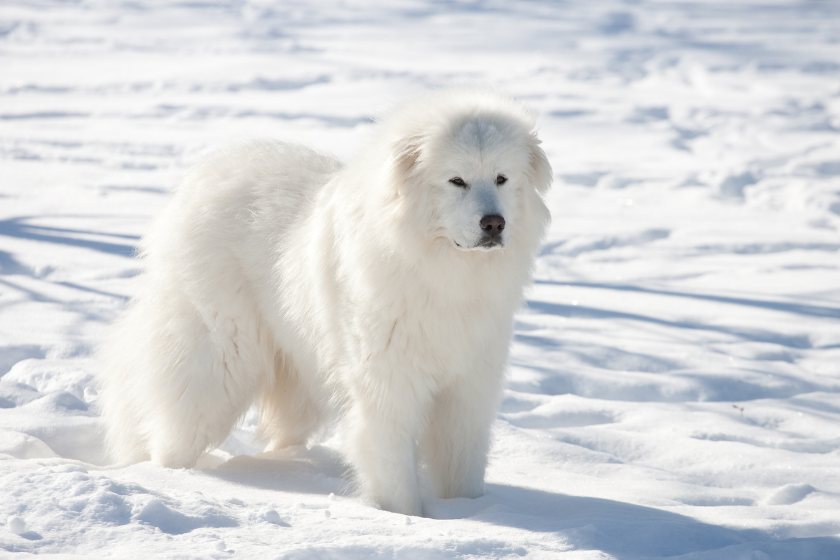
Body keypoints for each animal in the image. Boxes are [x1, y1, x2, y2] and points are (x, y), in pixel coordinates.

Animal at [97, 88, 552, 516]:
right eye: (457, 180)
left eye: (501, 178)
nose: (494, 224)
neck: (443, 273)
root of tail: (201, 179)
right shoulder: (387, 387)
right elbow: (394, 472)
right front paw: (406, 520)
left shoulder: (468, 390)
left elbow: (463, 467)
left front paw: (468, 512)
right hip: (222, 362)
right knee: (176, 428)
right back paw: (169, 480)